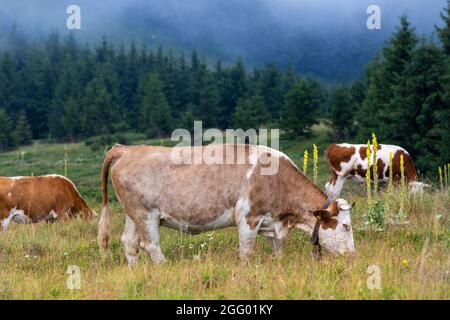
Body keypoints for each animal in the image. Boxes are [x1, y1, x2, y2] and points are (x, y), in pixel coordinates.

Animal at [97, 144, 356, 264]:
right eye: (346, 226)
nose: (354, 255)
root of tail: (126, 149)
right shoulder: (248, 218)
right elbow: (246, 252)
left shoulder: (272, 223)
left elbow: (278, 249)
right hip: (145, 214)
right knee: (150, 245)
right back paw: (164, 267)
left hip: (132, 214)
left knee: (130, 243)